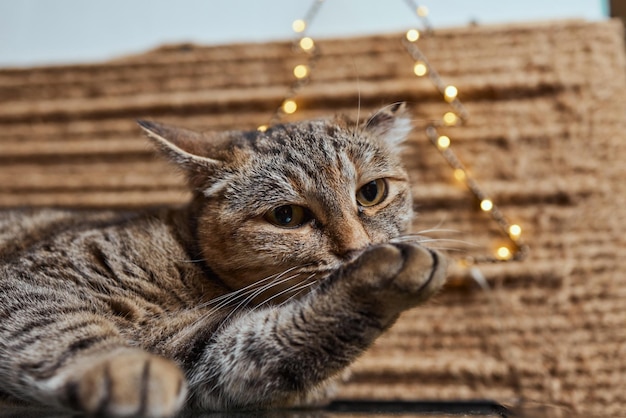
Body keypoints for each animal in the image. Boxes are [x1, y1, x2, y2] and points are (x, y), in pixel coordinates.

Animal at [1, 103, 448, 414]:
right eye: (287, 216)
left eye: (371, 193)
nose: (357, 249)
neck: (189, 260)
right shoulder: (27, 283)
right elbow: (59, 326)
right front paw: (125, 368)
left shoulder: (197, 355)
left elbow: (266, 340)